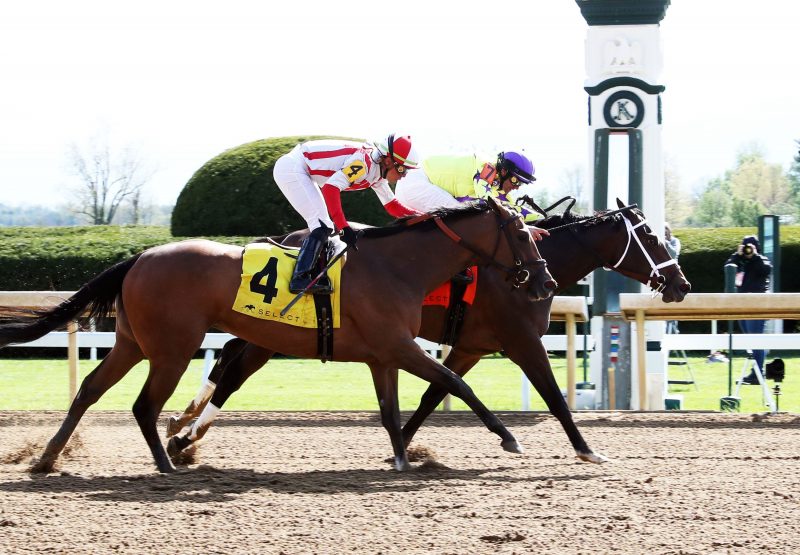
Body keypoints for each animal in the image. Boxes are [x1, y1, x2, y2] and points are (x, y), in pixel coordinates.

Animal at [0, 200, 552, 474]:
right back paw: (164, 462)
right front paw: (509, 438)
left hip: (134, 343)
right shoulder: (399, 347)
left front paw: (399, 458)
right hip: (172, 348)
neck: (398, 265)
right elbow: (457, 384)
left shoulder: (383, 355)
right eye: (523, 234)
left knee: (91, 389)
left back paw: (47, 459)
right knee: (145, 404)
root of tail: (139, 256)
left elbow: (392, 409)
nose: (544, 282)